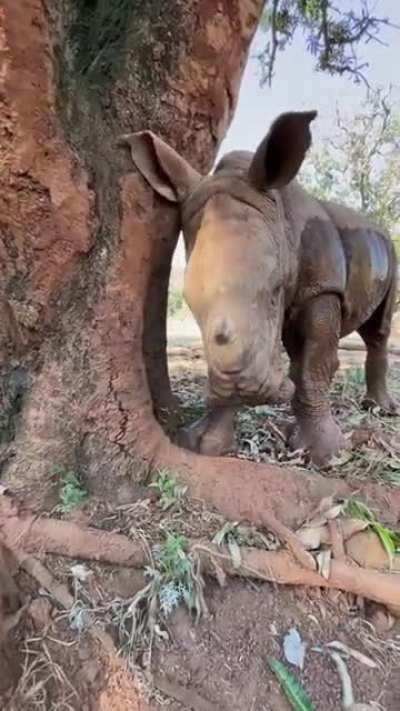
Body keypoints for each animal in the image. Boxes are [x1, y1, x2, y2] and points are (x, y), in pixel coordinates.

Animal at [124, 111, 398, 466]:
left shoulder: (323, 288)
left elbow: (315, 366)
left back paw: (380, 409)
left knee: (378, 330)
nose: (243, 386)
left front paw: (326, 454)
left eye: (275, 291)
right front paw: (204, 443)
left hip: (389, 249)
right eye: (189, 304)